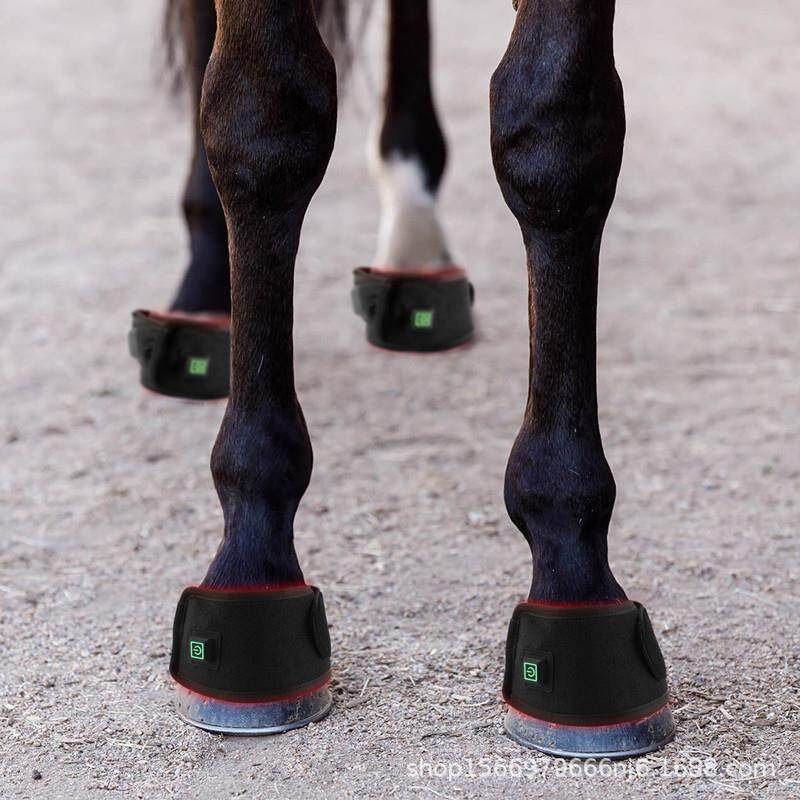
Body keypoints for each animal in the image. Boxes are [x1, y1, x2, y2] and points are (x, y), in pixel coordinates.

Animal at [140, 0, 675, 758]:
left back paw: (416, 247)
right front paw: (250, 561)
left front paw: (573, 570)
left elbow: (557, 133)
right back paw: (202, 294)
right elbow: (263, 119)